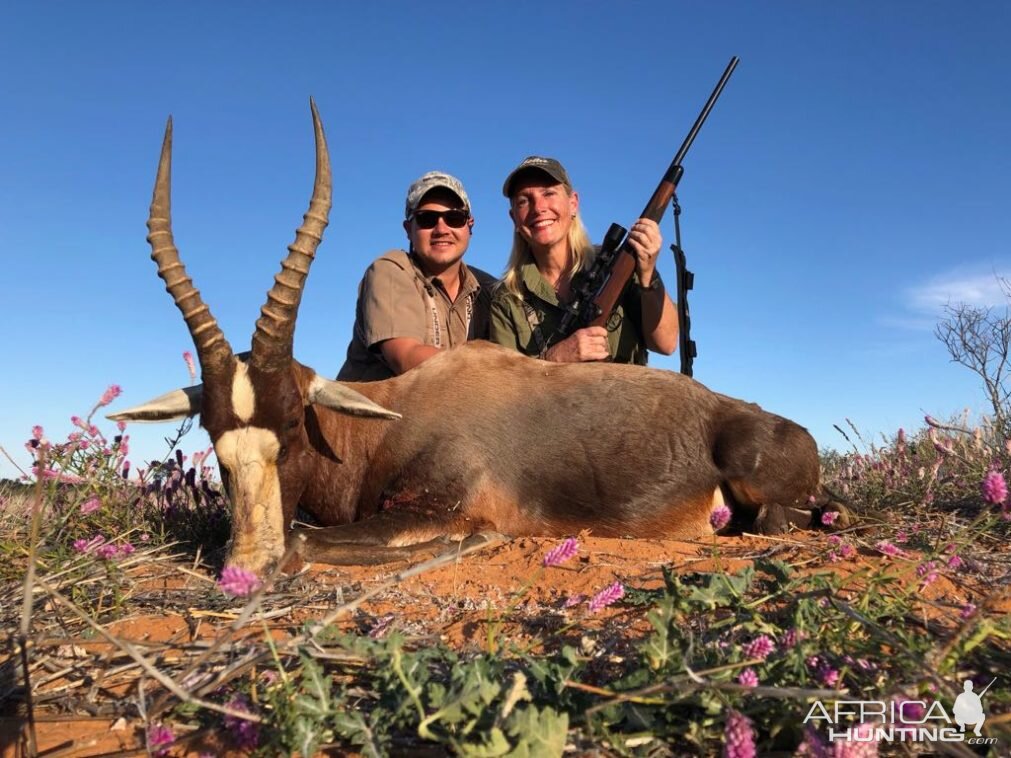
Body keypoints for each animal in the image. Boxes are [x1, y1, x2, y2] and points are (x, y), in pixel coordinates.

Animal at [108, 102, 845, 574]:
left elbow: (308, 541)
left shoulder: (445, 507)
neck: (390, 418)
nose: (244, 566)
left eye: (291, 423)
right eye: (211, 432)